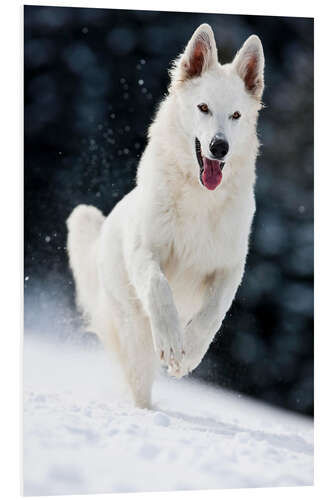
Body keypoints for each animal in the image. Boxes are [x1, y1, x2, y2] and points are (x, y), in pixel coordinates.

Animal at [67, 22, 264, 406]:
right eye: (203, 107)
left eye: (236, 115)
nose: (220, 147)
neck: (200, 198)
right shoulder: (145, 250)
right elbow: (159, 287)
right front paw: (173, 343)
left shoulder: (229, 267)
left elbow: (212, 313)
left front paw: (188, 353)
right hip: (133, 329)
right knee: (139, 379)